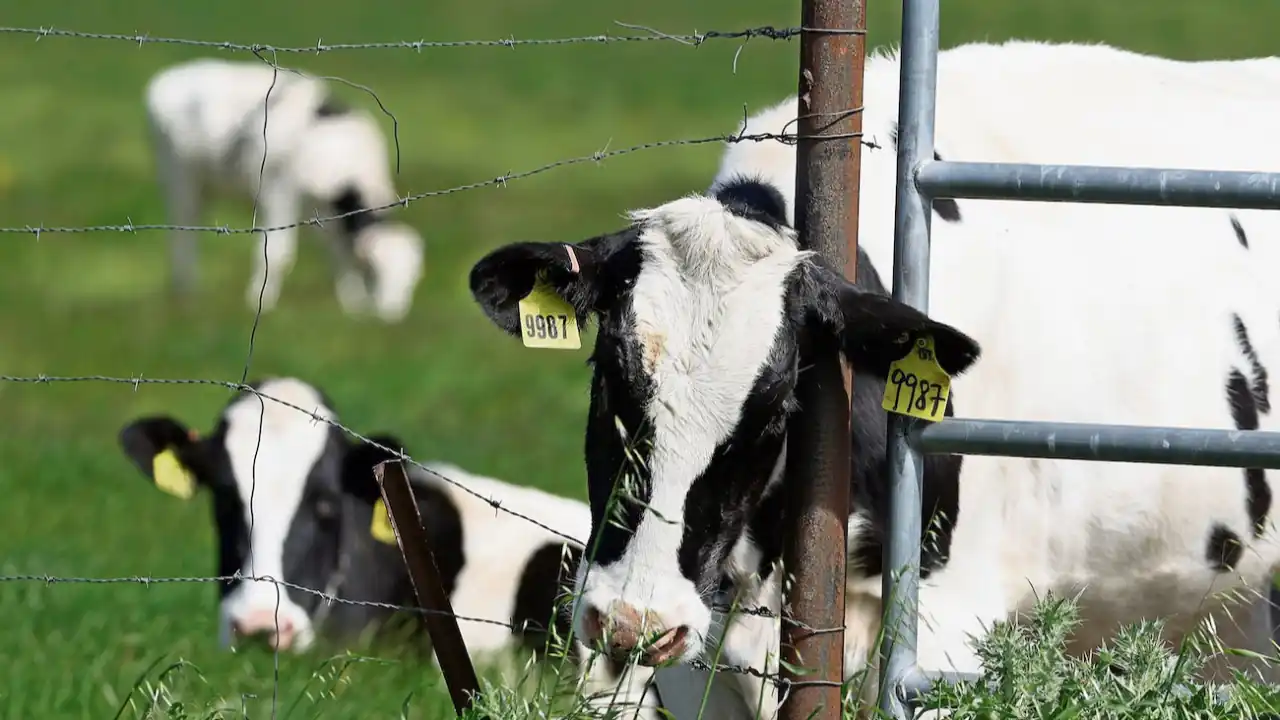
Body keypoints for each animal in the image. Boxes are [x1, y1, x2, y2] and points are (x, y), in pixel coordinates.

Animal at [144, 57, 424, 320]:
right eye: (375, 272)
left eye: (413, 279)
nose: (392, 315)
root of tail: (167, 78)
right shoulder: (278, 193)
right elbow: (278, 254)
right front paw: (260, 303)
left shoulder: (327, 214)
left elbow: (339, 255)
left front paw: (354, 306)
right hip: (179, 176)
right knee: (182, 231)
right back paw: (185, 291)